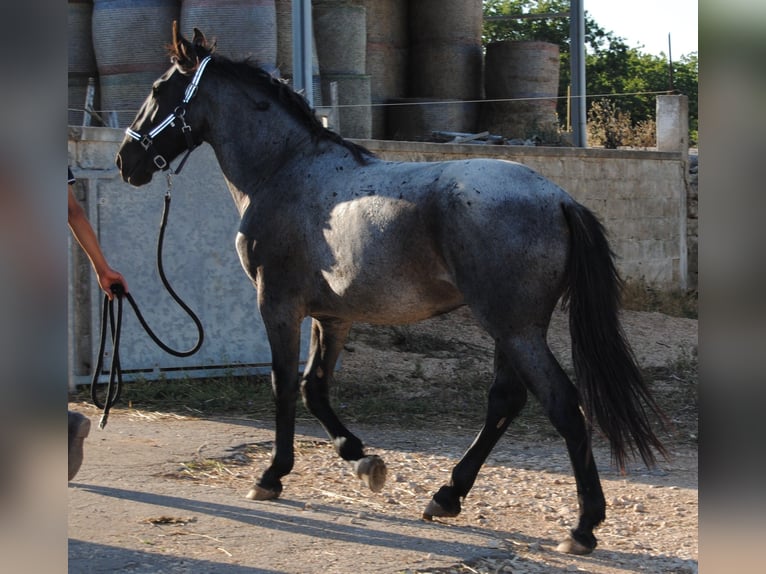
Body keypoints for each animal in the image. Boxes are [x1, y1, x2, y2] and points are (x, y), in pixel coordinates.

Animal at [114, 24, 664, 556]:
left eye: (159, 90)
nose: (126, 160)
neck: (284, 170)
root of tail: (559, 199)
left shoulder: (277, 305)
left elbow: (284, 384)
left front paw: (271, 476)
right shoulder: (332, 317)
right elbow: (315, 387)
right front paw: (361, 459)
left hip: (515, 329)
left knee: (563, 406)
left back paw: (582, 528)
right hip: (512, 332)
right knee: (505, 401)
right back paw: (447, 496)